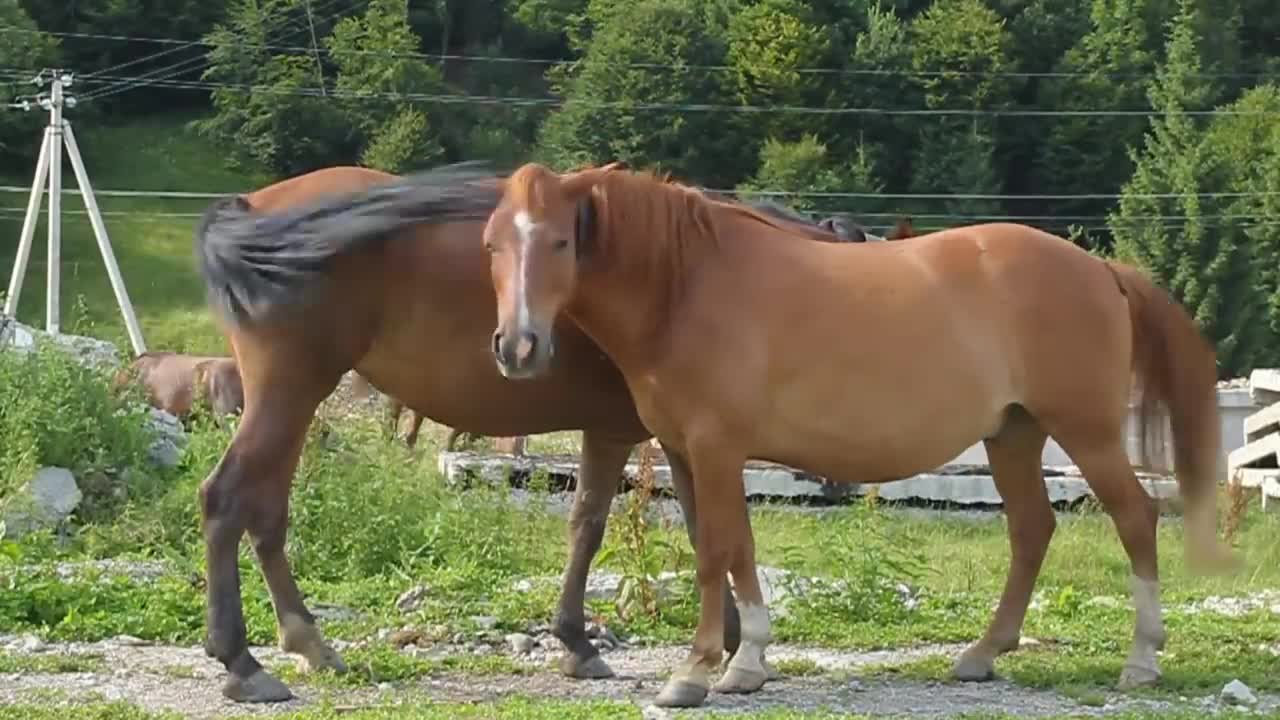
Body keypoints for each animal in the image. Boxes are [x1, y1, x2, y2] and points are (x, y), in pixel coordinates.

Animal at [481, 161, 1239, 707]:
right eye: (492, 244)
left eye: (560, 240)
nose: (516, 347)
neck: (686, 286)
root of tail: (1102, 270)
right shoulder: (690, 453)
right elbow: (734, 550)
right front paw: (747, 663)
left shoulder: (716, 447)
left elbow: (715, 553)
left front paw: (695, 673)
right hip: (1013, 436)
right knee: (1032, 530)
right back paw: (982, 655)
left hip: (1086, 432)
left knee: (1135, 519)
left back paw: (1141, 660)